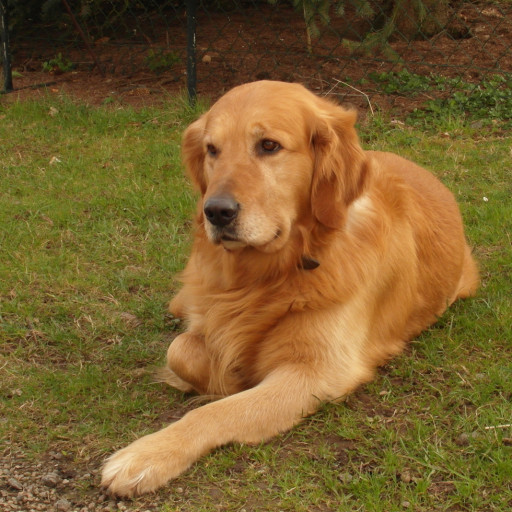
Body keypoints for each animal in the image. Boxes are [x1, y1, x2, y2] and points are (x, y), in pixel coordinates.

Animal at [101, 81, 480, 496]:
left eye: (269, 145)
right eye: (212, 150)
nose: (215, 212)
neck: (268, 273)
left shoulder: (319, 371)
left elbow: (219, 409)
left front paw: (148, 454)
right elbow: (180, 350)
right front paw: (225, 374)